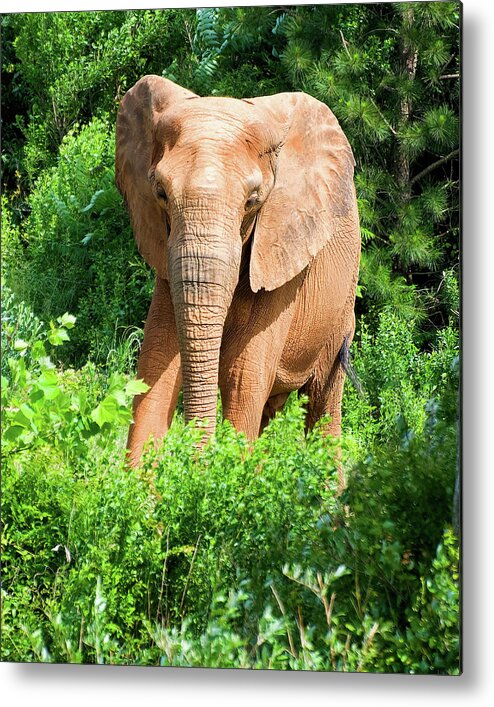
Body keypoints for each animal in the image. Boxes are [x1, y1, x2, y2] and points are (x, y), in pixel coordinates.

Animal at [117, 77, 360, 468]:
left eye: (252, 201)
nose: (195, 464)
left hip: (340, 313)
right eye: (160, 193)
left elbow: (241, 374)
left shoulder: (283, 248)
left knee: (323, 409)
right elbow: (155, 364)